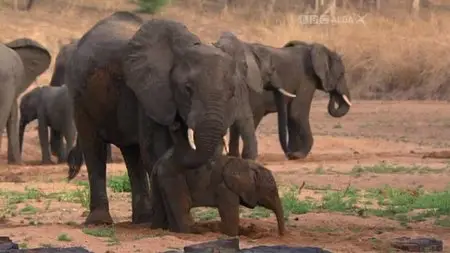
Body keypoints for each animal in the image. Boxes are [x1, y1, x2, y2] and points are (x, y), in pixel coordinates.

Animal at [66, 11, 248, 225]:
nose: (176, 126)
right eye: (188, 89)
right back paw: (100, 221)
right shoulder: (149, 93)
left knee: (132, 154)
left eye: (232, 92)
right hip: (80, 96)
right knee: (94, 148)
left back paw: (143, 219)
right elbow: (156, 152)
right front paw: (169, 223)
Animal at [213, 32, 354, 160]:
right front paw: (298, 155)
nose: (290, 154)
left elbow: (292, 115)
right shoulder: (306, 79)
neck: (313, 48)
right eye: (342, 74)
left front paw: (294, 154)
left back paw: (234, 156)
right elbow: (297, 112)